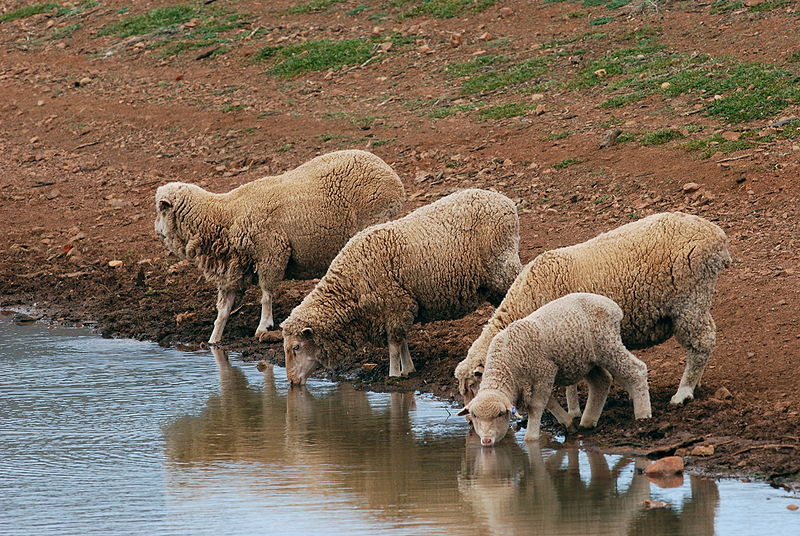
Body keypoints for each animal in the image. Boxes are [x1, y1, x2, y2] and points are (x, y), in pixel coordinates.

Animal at [155, 150, 406, 344]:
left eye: (161, 209)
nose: (156, 230)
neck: (228, 213)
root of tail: (391, 174)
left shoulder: (272, 253)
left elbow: (266, 294)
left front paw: (264, 326)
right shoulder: (234, 268)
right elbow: (223, 309)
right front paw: (214, 339)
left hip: (375, 220)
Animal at [282, 188, 524, 386]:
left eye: (296, 347)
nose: (292, 381)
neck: (350, 288)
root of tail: (505, 201)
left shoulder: (394, 304)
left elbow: (393, 345)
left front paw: (394, 373)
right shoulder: (399, 307)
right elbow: (402, 340)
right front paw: (408, 368)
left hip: (502, 265)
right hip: (491, 282)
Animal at [456, 211, 732, 408]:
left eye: (473, 385)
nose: (468, 419)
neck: (524, 301)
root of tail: (717, 235)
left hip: (690, 299)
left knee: (702, 342)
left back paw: (683, 392)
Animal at [456, 292, 648, 446]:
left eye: (499, 415)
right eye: (475, 416)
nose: (486, 441)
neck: (505, 363)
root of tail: (612, 305)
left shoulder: (545, 371)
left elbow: (536, 406)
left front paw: (531, 438)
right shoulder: (538, 379)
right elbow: (549, 402)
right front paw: (568, 423)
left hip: (607, 344)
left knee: (636, 370)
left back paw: (643, 416)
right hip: (587, 359)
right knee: (601, 382)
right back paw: (588, 421)